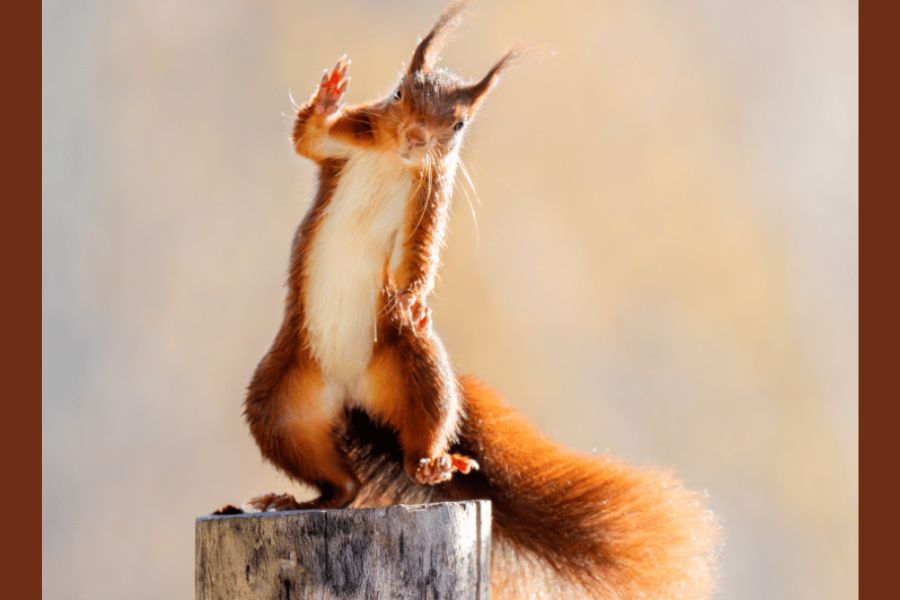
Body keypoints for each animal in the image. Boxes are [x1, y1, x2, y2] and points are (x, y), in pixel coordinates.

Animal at [233, 2, 720, 598]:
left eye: (459, 123)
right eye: (400, 93)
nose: (417, 135)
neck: (396, 160)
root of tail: (351, 397)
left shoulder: (429, 197)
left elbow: (415, 258)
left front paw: (413, 298)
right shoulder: (347, 141)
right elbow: (309, 138)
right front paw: (328, 95)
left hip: (416, 370)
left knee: (413, 437)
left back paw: (428, 465)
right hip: (282, 406)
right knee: (336, 482)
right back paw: (292, 498)